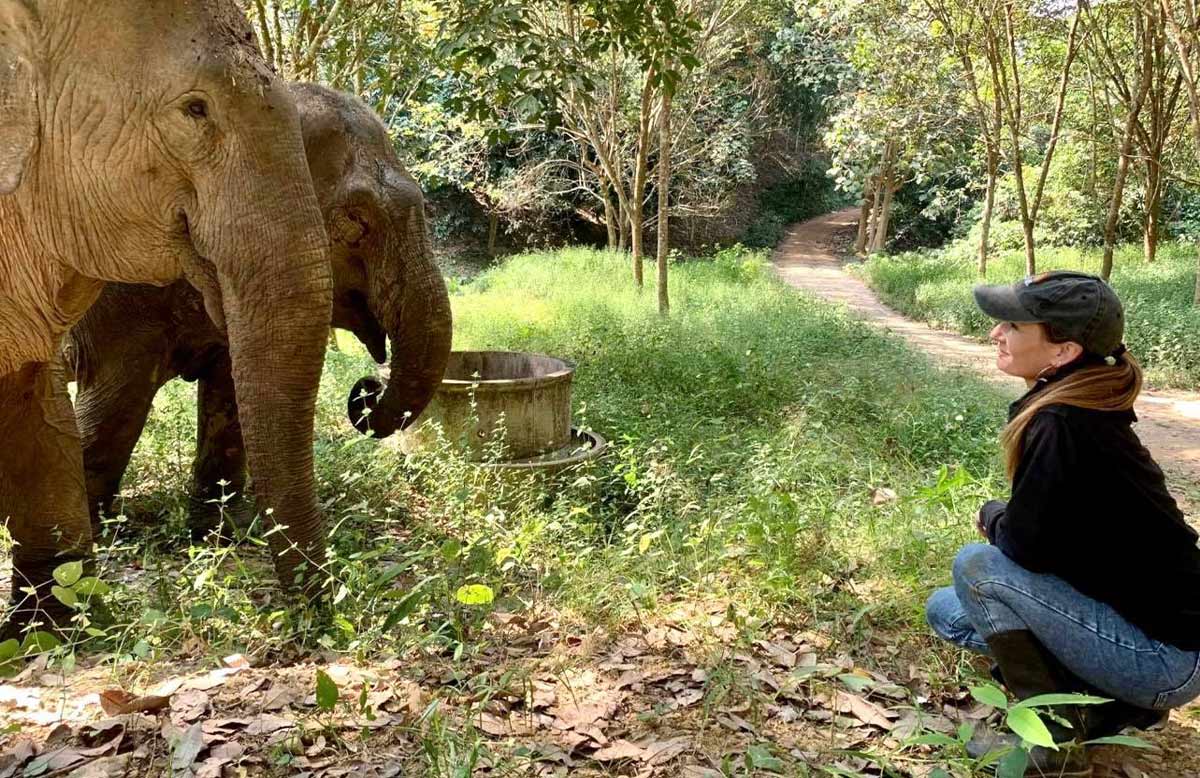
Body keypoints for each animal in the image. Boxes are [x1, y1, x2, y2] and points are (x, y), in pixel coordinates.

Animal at [64, 83, 453, 537]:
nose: (367, 389)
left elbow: (229, 394)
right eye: (357, 221)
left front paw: (220, 534)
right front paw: (87, 541)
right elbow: (115, 405)